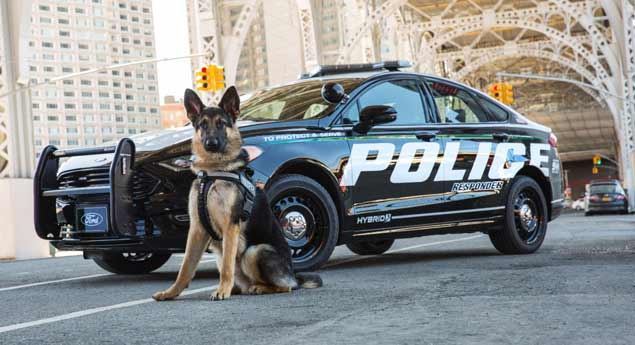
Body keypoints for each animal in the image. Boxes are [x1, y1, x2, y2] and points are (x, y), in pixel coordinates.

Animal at [153, 86, 320, 300]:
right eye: (203, 125)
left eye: (221, 124)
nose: (211, 143)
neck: (213, 173)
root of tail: (293, 275)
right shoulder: (197, 229)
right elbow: (186, 267)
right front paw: (171, 292)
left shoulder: (231, 226)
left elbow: (227, 266)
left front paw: (222, 291)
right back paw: (238, 288)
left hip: (255, 251)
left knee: (285, 286)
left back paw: (258, 287)